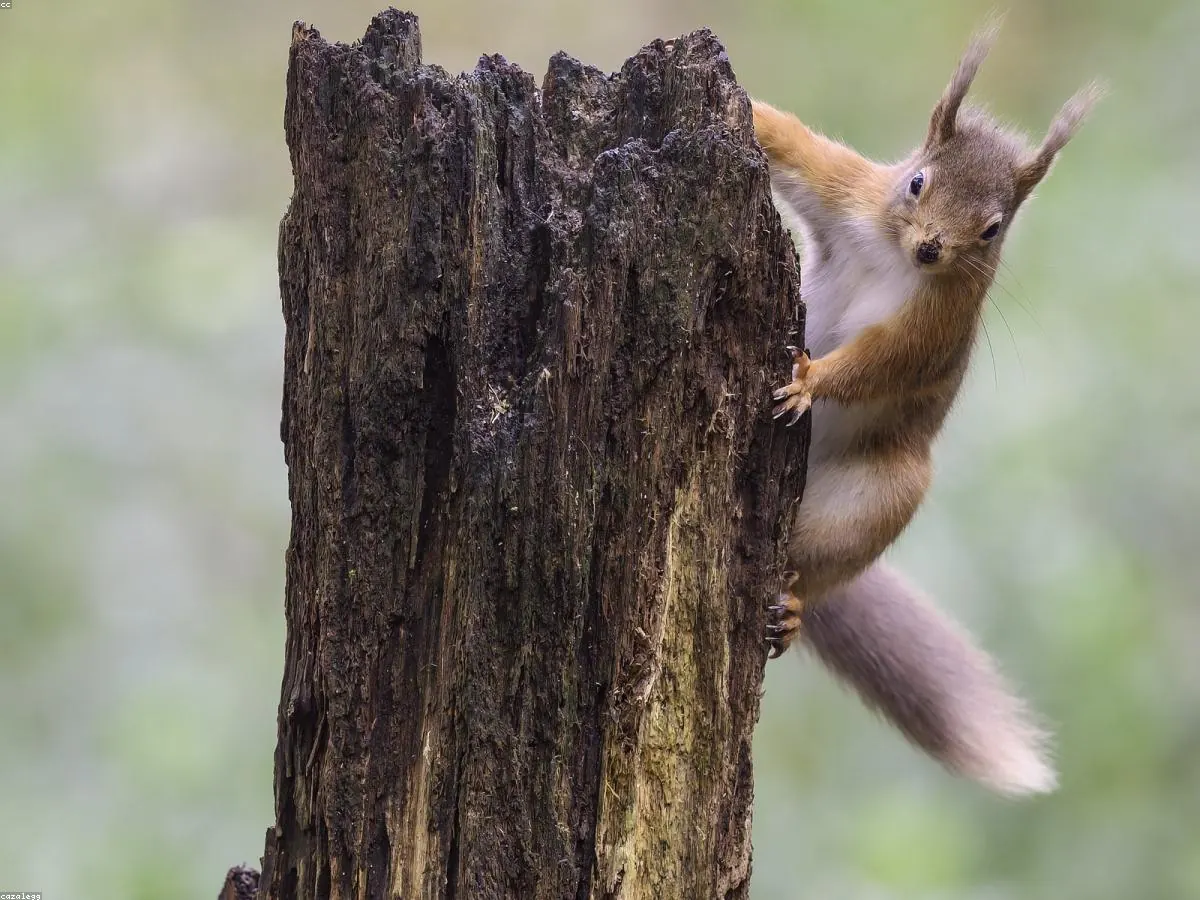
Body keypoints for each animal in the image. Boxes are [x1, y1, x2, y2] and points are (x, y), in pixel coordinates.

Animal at [752, 24, 1101, 796]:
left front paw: (811, 381)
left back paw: (791, 606)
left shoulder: (936, 328)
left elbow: (881, 363)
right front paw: (748, 108)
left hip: (884, 491)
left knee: (813, 567)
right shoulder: (848, 193)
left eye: (993, 228)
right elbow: (793, 145)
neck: (896, 256)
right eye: (916, 182)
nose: (933, 247)